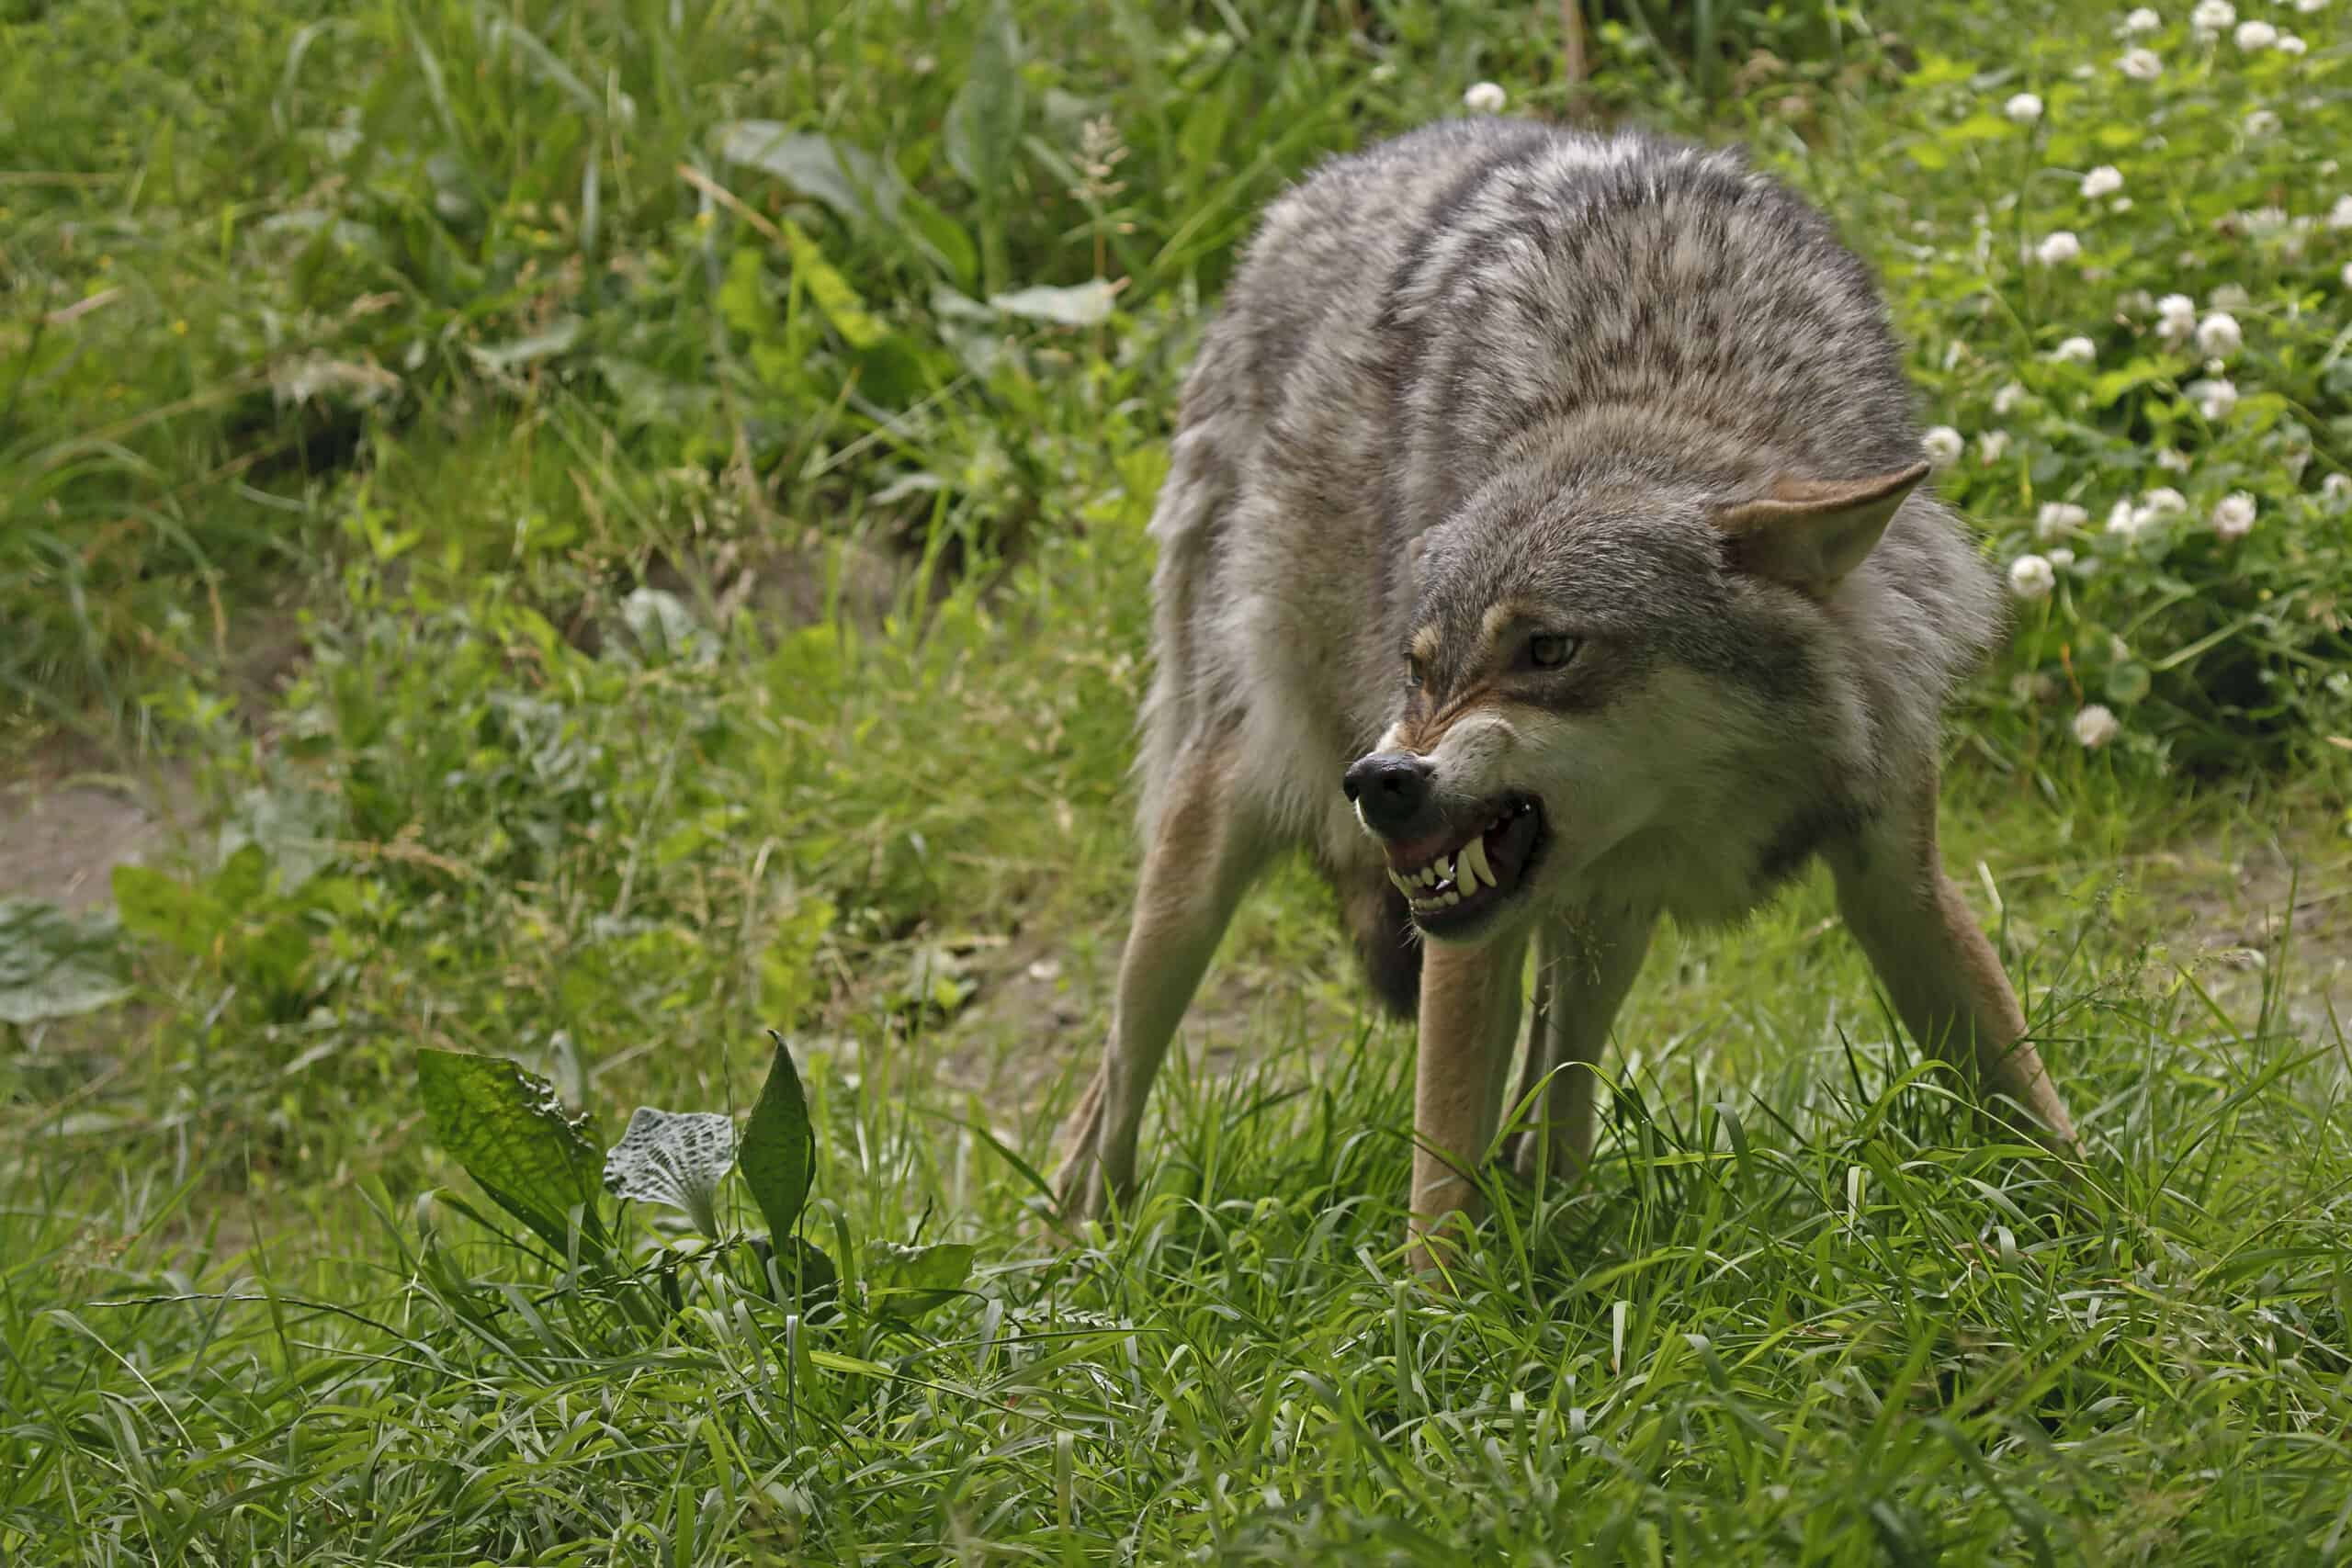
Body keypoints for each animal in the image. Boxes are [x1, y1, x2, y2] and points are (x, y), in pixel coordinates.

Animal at [1052, 119, 2079, 1267]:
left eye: (1547, 650)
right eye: (1421, 667)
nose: (1382, 780)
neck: (1662, 379)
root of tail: (1309, 192)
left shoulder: (1897, 877)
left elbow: (2025, 1094)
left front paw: (2114, 1241)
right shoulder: (1468, 937)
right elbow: (1437, 1190)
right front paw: (1433, 1314)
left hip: (1600, 924)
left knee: (1556, 1103)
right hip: (1214, 839)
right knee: (1103, 1095)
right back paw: (1082, 1254)